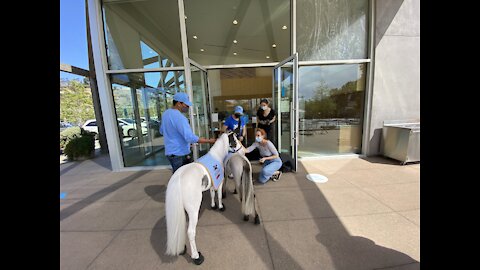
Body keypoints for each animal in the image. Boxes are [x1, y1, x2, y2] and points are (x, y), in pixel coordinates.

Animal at [165, 132, 242, 264]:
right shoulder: (219, 182)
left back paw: (182, 248)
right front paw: (220, 206)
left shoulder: (211, 184)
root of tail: (178, 179)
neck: (216, 156)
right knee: (191, 232)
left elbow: (212, 194)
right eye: (234, 141)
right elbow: (219, 195)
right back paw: (196, 256)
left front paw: (213, 206)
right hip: (193, 210)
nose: (239, 149)